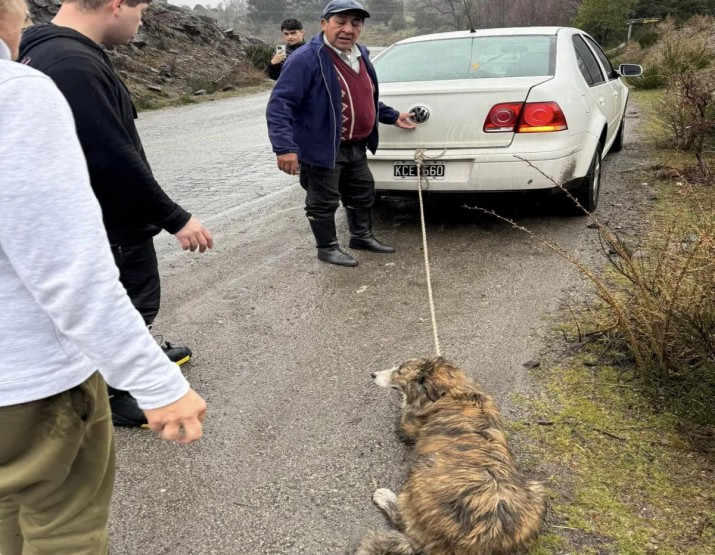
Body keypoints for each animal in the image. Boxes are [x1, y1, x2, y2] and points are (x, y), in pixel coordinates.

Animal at [352, 358, 548, 552]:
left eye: (400, 371)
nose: (373, 374)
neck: (454, 391)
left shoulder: (407, 427)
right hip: (537, 491)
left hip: (421, 473)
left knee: (402, 521)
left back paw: (383, 496)